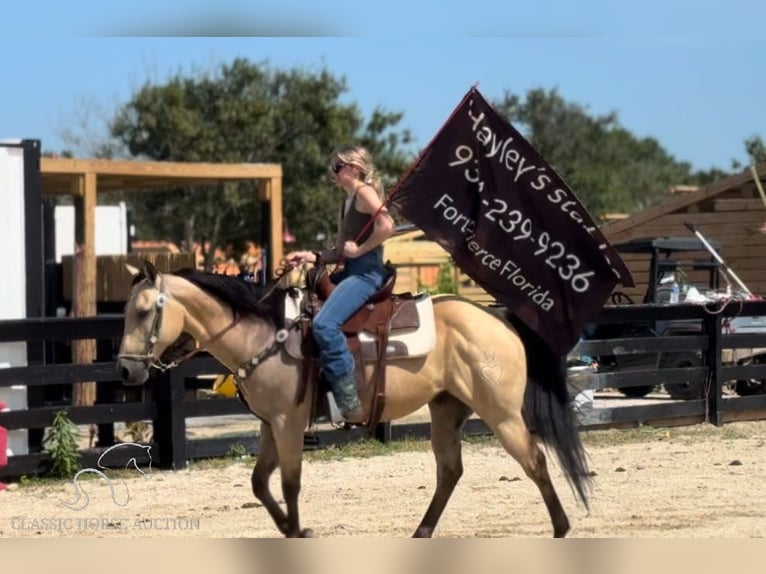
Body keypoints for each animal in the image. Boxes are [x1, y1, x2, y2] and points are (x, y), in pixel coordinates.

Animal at [117, 260, 592, 540]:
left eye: (143, 311)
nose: (124, 371)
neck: (265, 334)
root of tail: (497, 316)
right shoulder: (270, 425)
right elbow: (259, 483)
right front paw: (291, 528)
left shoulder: (289, 424)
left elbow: (289, 483)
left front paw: (297, 531)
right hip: (446, 409)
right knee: (450, 471)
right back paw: (422, 531)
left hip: (502, 413)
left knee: (534, 460)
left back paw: (561, 527)